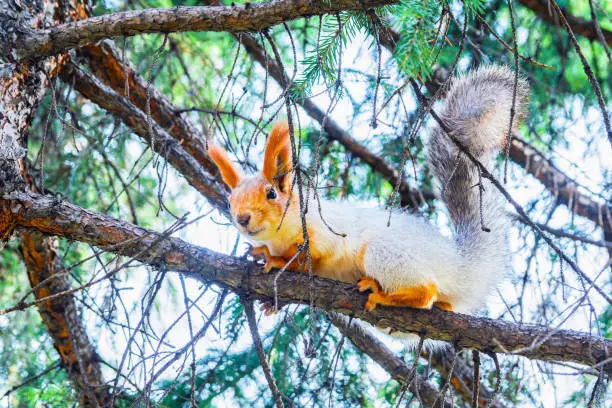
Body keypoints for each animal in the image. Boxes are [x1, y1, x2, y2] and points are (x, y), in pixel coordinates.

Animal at [208, 66, 528, 316]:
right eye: (230, 201)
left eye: (271, 194)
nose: (242, 219)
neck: (278, 236)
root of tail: (458, 264)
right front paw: (266, 274)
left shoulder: (322, 235)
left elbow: (308, 259)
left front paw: (273, 259)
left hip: (384, 253)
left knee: (426, 292)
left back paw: (381, 292)